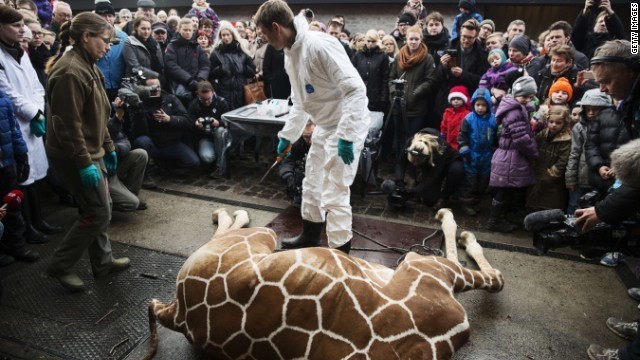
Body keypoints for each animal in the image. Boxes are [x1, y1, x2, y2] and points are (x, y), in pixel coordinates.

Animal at [144, 208, 504, 360]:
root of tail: (176, 313)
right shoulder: (426, 267)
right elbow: (493, 276)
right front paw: (458, 226)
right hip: (262, 236)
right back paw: (227, 211)